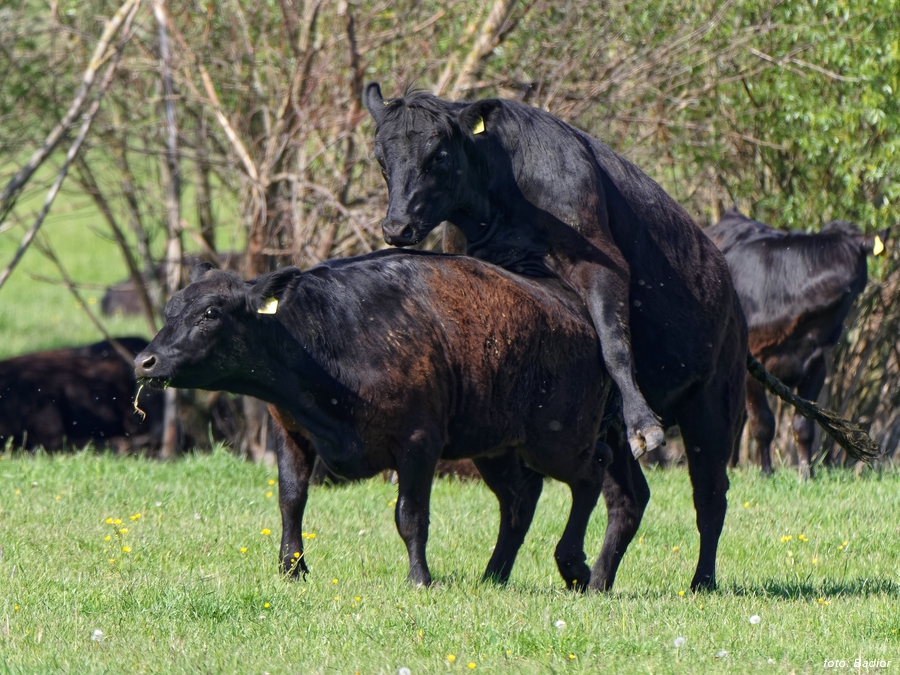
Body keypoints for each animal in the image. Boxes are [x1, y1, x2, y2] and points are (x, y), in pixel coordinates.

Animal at [362, 84, 748, 592]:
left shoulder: (601, 263)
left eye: (438, 156)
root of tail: (726, 283)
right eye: (381, 157)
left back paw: (701, 581)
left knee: (711, 497)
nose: (397, 227)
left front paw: (644, 423)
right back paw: (593, 579)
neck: (502, 195)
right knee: (629, 498)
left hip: (713, 404)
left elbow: (615, 343)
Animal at [704, 209, 884, 478]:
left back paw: (732, 466)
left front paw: (807, 473)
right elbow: (763, 423)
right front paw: (766, 472)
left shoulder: (817, 364)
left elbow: (804, 423)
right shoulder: (754, 359)